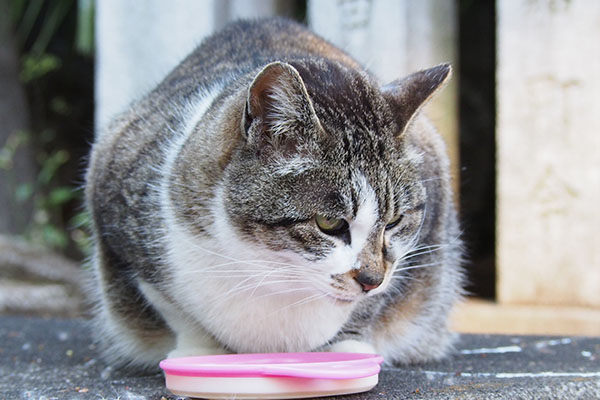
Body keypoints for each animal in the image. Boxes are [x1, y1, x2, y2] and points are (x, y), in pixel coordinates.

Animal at [85, 18, 464, 368]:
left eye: (395, 221)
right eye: (329, 223)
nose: (372, 279)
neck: (275, 272)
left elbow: (372, 304)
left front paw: (348, 350)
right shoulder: (114, 196)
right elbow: (175, 311)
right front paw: (198, 352)